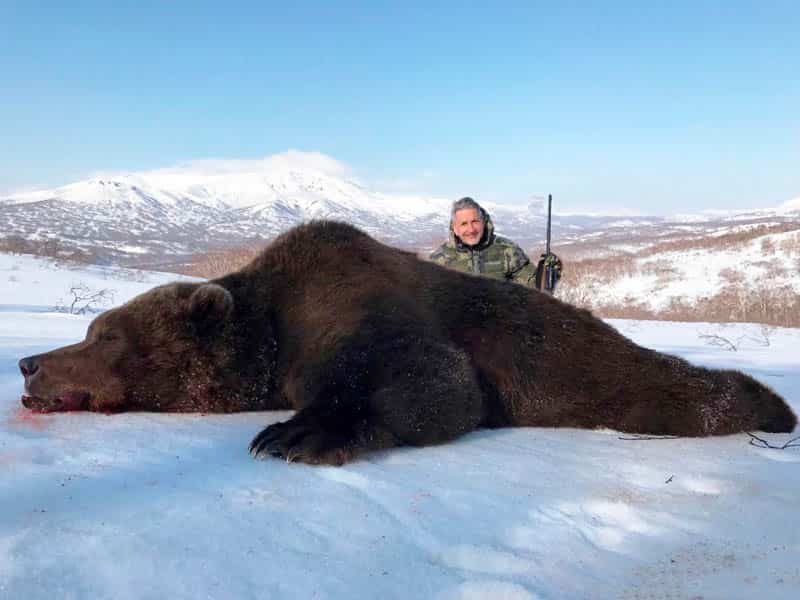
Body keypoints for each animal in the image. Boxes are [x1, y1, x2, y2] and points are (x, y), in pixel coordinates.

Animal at [15, 220, 796, 464]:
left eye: (102, 332)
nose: (27, 362)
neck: (268, 327)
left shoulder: (355, 302)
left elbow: (436, 379)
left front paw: (297, 433)